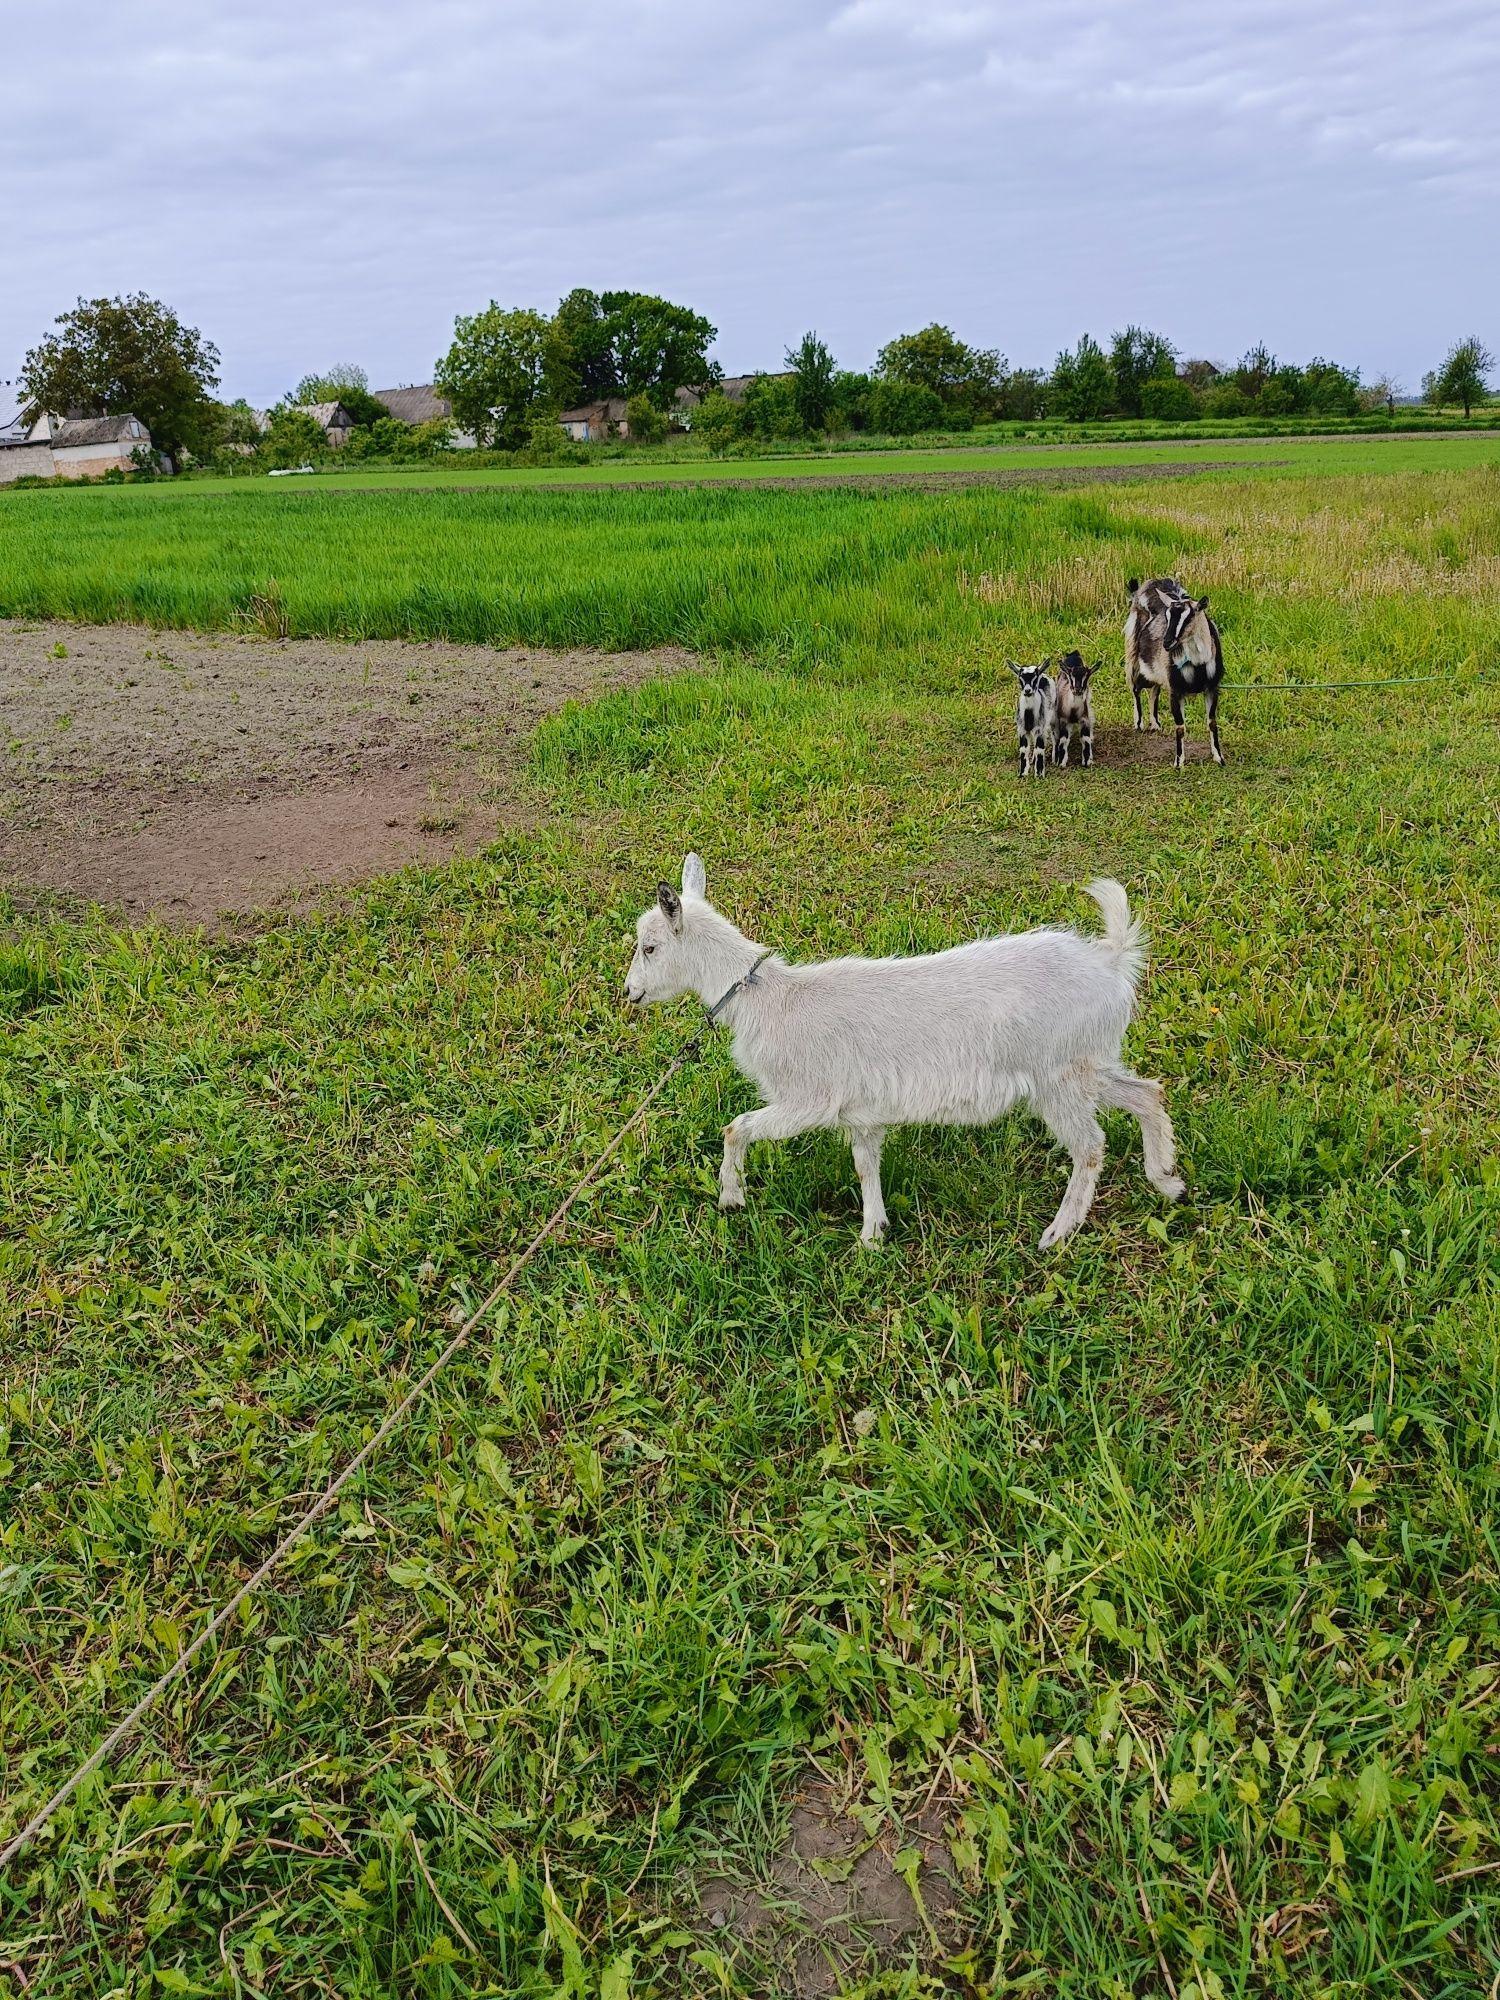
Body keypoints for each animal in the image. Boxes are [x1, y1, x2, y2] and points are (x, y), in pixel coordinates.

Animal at [624, 860, 1184, 1248]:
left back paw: (1057, 1233)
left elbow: (735, 1127)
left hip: (1059, 1076)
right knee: (1148, 1092)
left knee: (1090, 1145)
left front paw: (731, 1197)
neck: (768, 1000)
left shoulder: (809, 1101)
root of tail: (1110, 961)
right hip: (1089, 1063)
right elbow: (864, 1166)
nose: (629, 993)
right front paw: (873, 1234)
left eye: (650, 947)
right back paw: (1167, 1180)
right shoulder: (862, 1110)